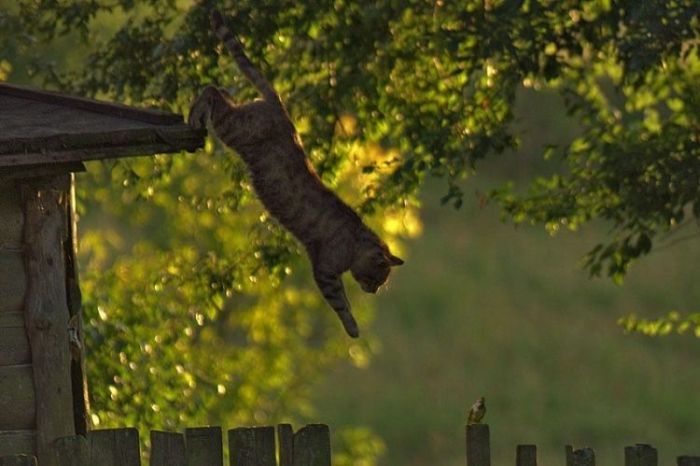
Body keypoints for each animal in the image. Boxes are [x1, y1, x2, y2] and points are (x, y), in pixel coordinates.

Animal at [189, 9, 402, 336]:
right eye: (377, 278)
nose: (374, 291)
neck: (355, 243)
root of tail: (279, 106)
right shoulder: (325, 270)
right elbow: (341, 305)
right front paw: (352, 328)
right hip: (233, 129)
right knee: (212, 91)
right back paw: (194, 116)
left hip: (237, 120)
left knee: (222, 90)